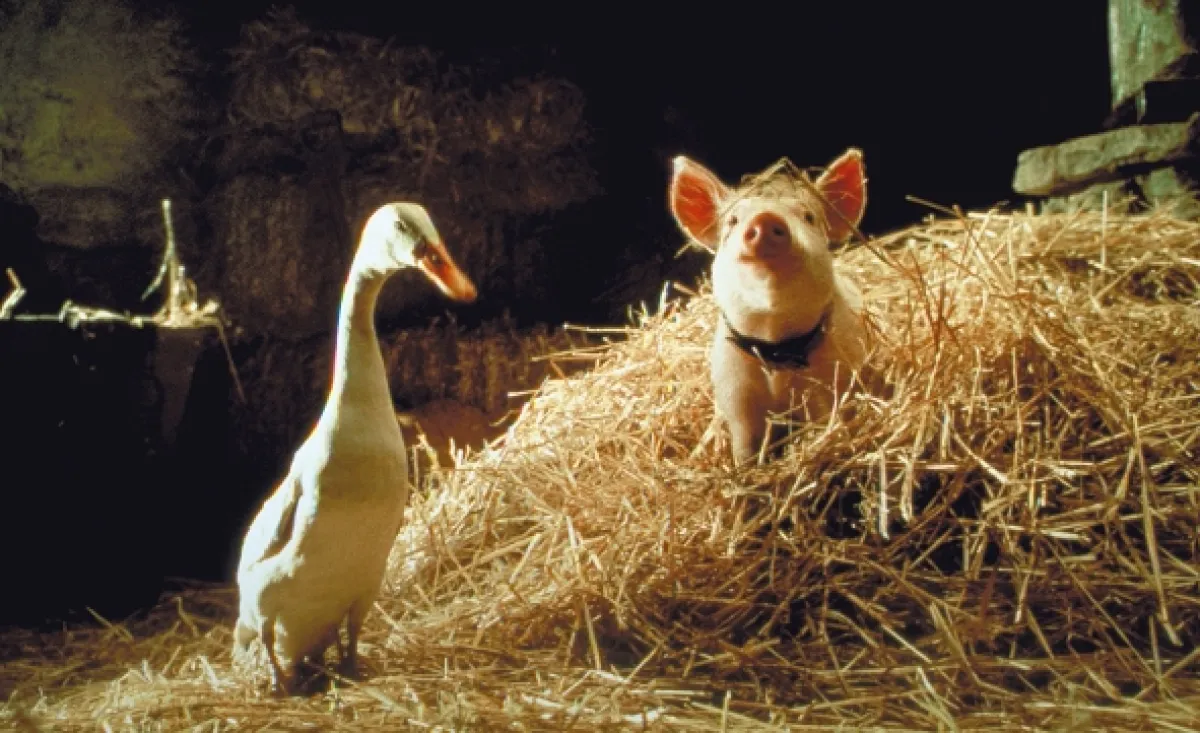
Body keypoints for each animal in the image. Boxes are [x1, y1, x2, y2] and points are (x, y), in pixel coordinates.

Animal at [668, 149, 871, 465]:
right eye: (733, 221)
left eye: (808, 216)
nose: (765, 218)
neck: (775, 345)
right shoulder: (735, 394)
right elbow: (744, 446)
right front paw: (743, 469)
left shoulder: (832, 383)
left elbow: (830, 423)